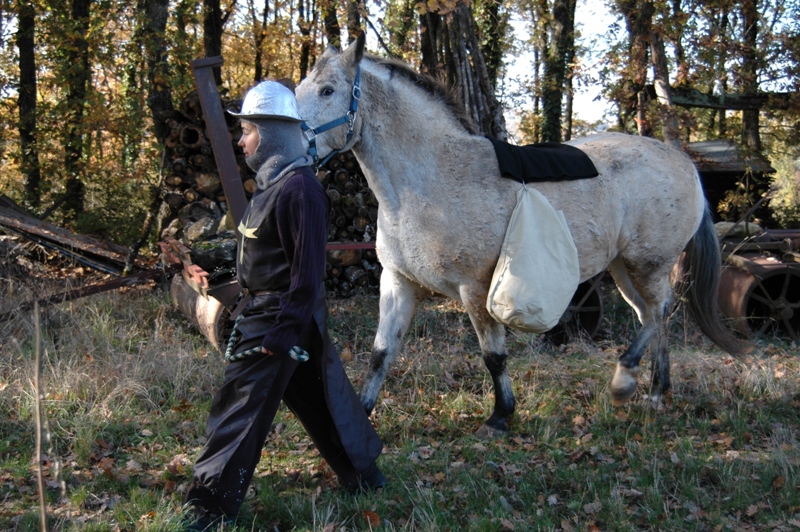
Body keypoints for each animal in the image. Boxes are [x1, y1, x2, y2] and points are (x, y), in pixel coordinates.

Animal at [296, 32, 744, 432]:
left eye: (327, 90)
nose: (285, 146)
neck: (433, 180)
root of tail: (684, 163)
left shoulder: (475, 289)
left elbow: (493, 355)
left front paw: (500, 416)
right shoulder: (398, 283)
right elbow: (381, 353)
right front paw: (363, 417)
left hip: (648, 264)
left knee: (661, 310)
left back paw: (625, 380)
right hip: (624, 268)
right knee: (652, 314)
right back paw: (654, 390)